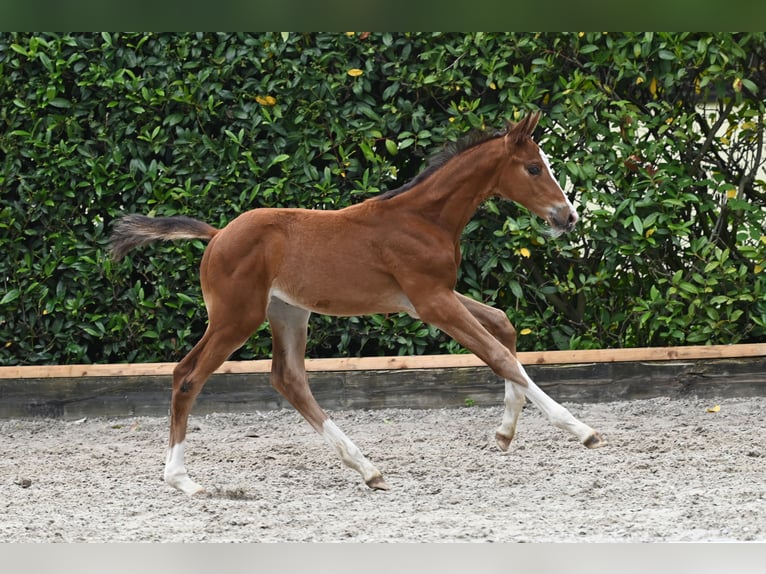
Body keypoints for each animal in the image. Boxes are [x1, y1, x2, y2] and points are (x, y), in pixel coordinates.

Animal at [111, 112, 608, 500]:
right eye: (533, 168)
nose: (568, 217)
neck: (423, 218)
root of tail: (217, 237)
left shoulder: (426, 299)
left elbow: (503, 327)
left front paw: (505, 434)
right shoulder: (432, 302)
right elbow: (499, 355)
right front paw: (581, 430)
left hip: (288, 313)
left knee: (289, 378)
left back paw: (368, 469)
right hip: (237, 317)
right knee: (188, 375)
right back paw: (181, 479)